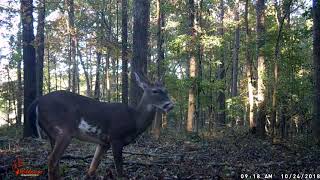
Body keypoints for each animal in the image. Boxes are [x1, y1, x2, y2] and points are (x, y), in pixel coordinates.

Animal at [28, 72, 174, 179]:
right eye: (155, 91)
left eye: (166, 90)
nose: (170, 105)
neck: (134, 119)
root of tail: (37, 101)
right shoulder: (116, 138)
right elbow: (120, 172)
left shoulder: (104, 142)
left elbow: (92, 169)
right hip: (64, 131)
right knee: (52, 161)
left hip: (53, 134)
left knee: (56, 162)